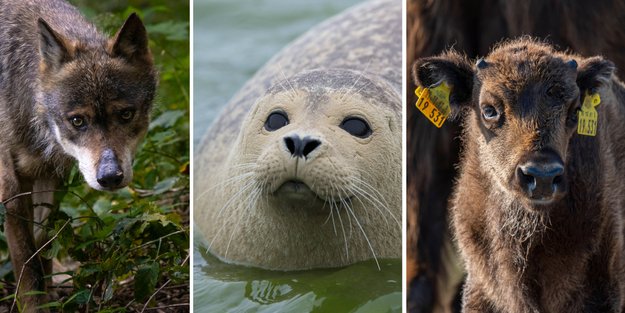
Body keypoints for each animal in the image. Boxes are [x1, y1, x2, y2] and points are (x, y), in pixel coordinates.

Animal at [0, 0, 158, 308]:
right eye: (77, 121)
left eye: (125, 114)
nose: (110, 177)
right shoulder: (11, 188)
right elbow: (26, 262)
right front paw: (35, 306)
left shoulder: (51, 175)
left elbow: (42, 244)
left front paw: (50, 296)